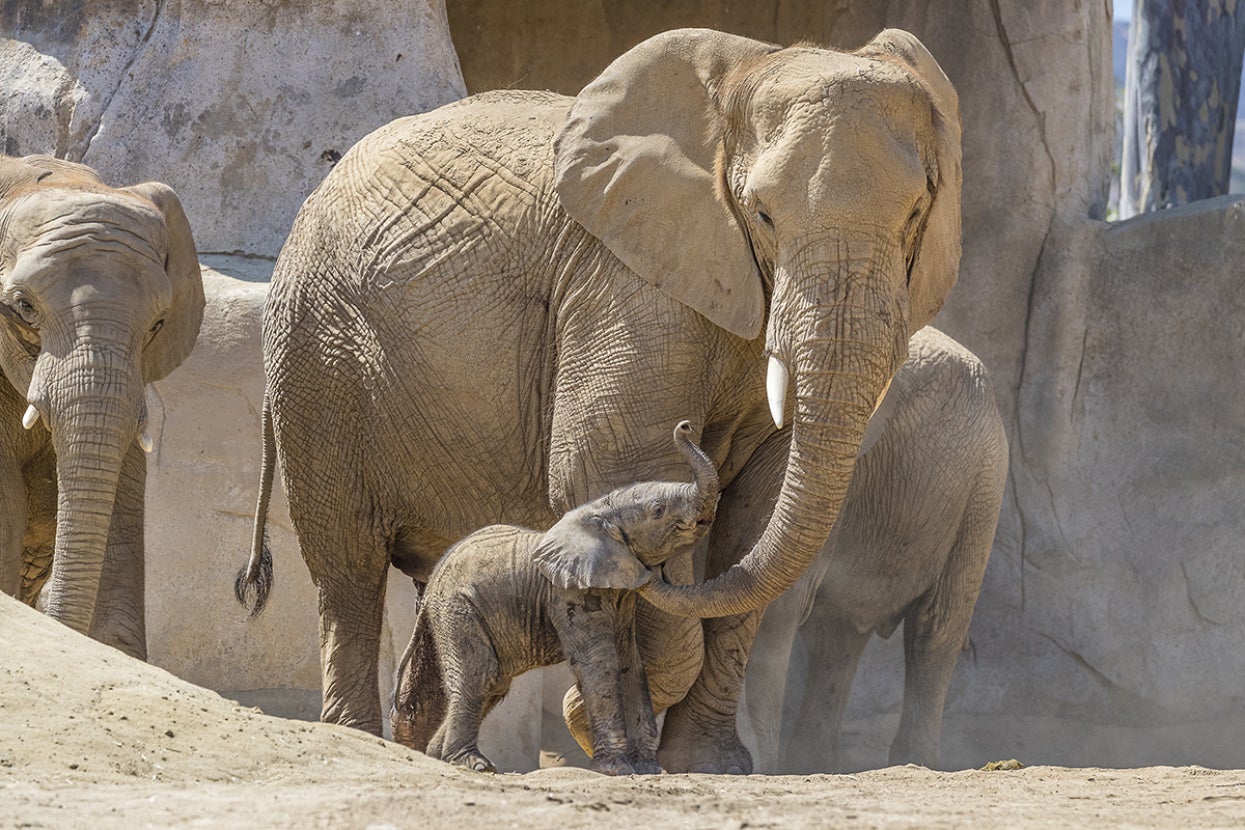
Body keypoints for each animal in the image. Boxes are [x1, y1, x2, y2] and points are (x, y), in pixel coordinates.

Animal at [389, 421, 718, 775]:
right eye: (658, 511)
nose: (685, 426)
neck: (599, 510)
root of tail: (432, 582)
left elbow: (630, 661)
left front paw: (649, 770)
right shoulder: (568, 593)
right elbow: (600, 662)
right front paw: (617, 769)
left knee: (495, 684)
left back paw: (439, 756)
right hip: (458, 607)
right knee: (481, 675)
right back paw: (472, 763)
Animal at [725, 327, 1007, 773]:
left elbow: (772, 603)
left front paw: (750, 759)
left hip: (983, 486)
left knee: (934, 629)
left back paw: (915, 762)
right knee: (837, 640)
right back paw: (813, 763)